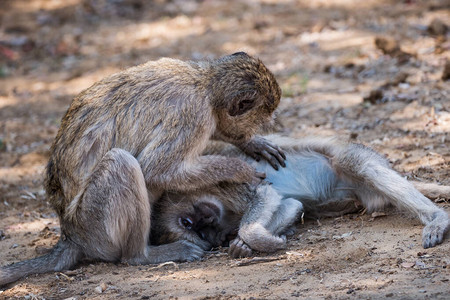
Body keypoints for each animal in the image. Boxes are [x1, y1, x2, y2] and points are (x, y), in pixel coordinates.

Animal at [0, 52, 284, 286]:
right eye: (264, 115)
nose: (272, 122)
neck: (205, 83)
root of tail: (70, 234)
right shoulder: (193, 114)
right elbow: (155, 170)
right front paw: (238, 169)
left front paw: (252, 144)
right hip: (93, 225)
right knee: (123, 163)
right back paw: (143, 255)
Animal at [152, 136, 450, 258]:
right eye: (197, 233)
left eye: (187, 223)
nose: (207, 228)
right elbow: (289, 204)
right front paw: (241, 245)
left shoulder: (226, 182)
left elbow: (264, 195)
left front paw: (248, 240)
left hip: (356, 160)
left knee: (356, 163)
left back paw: (438, 218)